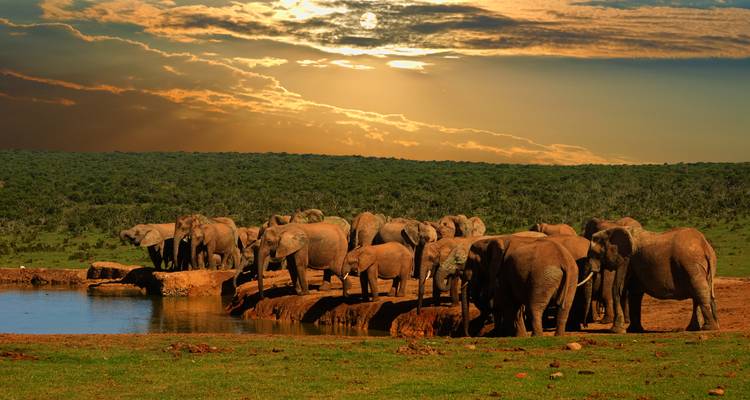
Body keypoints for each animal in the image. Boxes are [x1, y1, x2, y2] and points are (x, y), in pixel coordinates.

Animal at [588, 226, 719, 333]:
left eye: (595, 253)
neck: (611, 230)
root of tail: (705, 247)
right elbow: (635, 293)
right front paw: (634, 330)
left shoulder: (625, 260)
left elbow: (618, 289)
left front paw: (616, 331)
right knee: (701, 292)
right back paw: (697, 328)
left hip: (691, 264)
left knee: (700, 291)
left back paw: (708, 328)